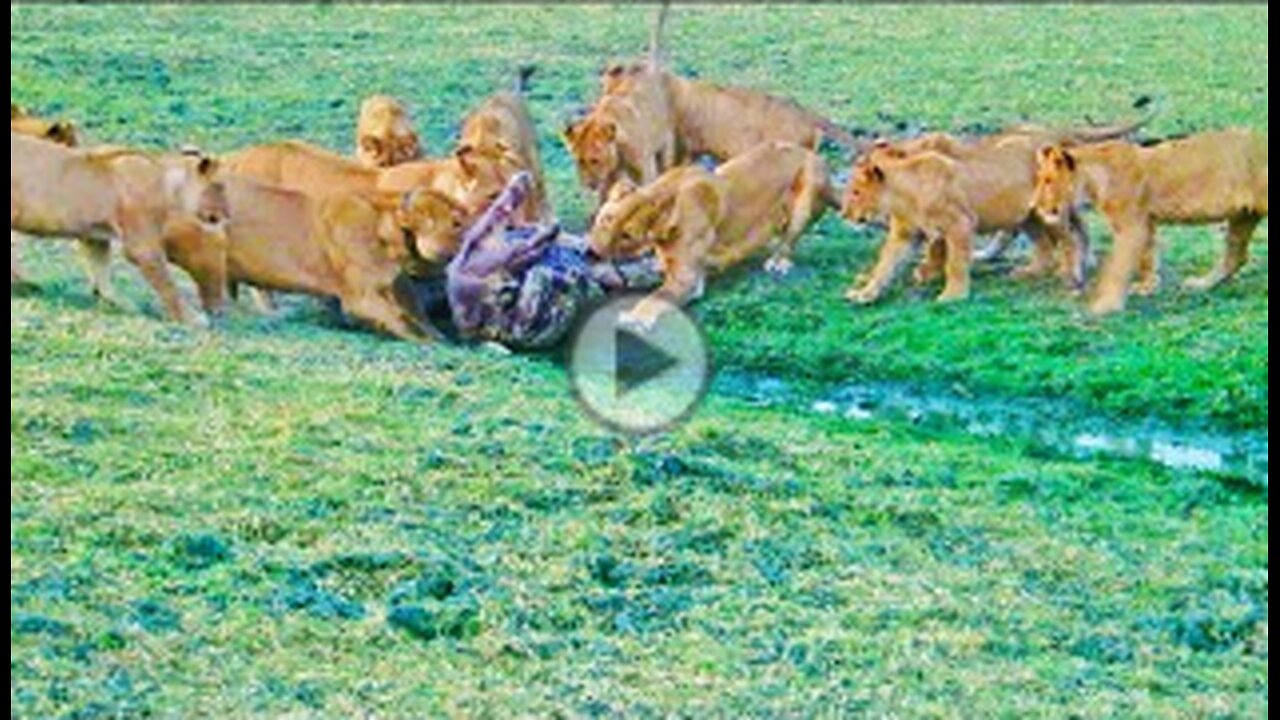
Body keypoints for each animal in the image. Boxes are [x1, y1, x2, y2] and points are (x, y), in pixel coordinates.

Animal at [12, 132, 229, 325]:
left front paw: (116, 301)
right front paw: (192, 318)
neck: (169, 186)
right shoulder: (142, 246)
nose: (227, 215)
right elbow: (167, 283)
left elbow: (100, 267)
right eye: (219, 186)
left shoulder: (95, 236)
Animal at [586, 139, 834, 327]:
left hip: (804, 201)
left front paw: (634, 317)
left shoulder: (688, 279)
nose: (592, 253)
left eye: (627, 236)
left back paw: (778, 261)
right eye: (606, 219)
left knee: (789, 240)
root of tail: (816, 157)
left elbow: (655, 297)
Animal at [1034, 129, 1264, 313]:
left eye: (1048, 181)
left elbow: (1118, 267)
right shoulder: (1146, 222)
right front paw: (1148, 287)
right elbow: (1148, 256)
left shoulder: (1132, 227)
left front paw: (1105, 305)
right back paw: (1200, 284)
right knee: (1237, 256)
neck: (1093, 182)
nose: (1034, 205)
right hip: (1243, 216)